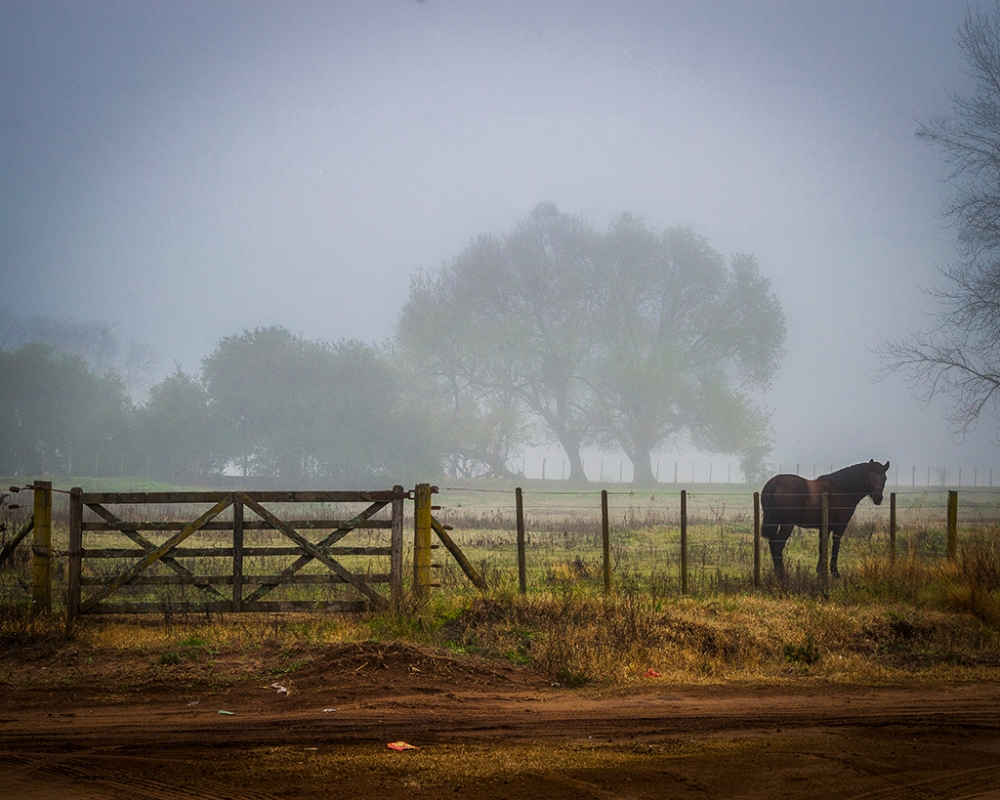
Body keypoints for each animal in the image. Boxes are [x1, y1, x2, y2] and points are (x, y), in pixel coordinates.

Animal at [756, 460, 892, 580]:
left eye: (885, 478)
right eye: (871, 476)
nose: (878, 498)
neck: (841, 489)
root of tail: (773, 484)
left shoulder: (824, 527)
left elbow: (822, 547)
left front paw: (820, 572)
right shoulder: (840, 525)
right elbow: (835, 546)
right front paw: (834, 572)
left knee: (772, 544)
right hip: (787, 525)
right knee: (777, 545)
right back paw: (782, 576)